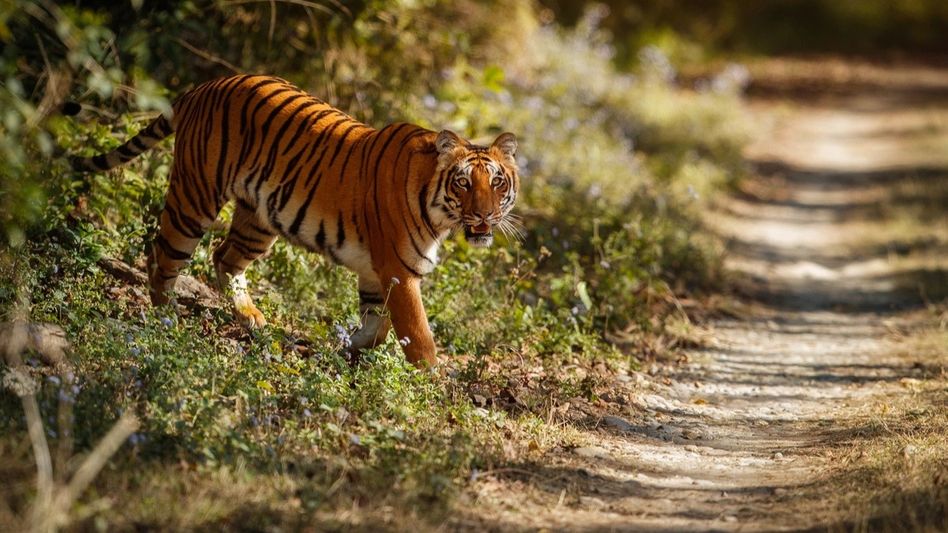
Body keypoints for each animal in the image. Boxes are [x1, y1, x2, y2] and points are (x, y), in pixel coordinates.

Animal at [70, 74, 520, 367]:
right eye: (463, 182)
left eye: (497, 182)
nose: (485, 214)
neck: (440, 213)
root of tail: (205, 86)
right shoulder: (399, 270)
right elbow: (419, 336)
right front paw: (429, 384)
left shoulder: (376, 272)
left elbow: (377, 326)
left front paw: (347, 351)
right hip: (195, 198)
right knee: (163, 257)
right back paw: (167, 322)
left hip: (259, 220)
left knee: (224, 257)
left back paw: (251, 318)